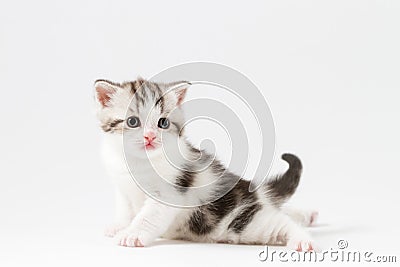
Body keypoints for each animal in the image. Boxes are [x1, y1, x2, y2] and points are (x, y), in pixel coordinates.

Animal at [94, 77, 318, 251]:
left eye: (162, 123)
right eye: (132, 122)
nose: (150, 137)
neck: (138, 162)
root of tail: (253, 191)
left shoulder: (169, 191)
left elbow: (147, 216)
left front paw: (132, 234)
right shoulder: (122, 187)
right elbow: (125, 208)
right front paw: (120, 225)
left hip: (242, 222)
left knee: (281, 223)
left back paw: (303, 241)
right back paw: (307, 215)